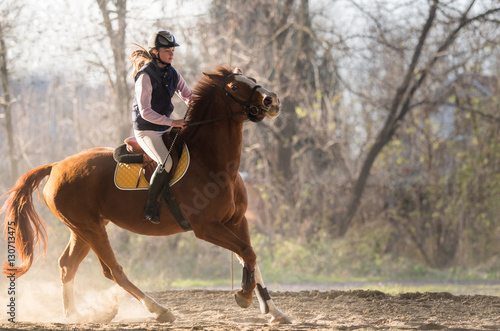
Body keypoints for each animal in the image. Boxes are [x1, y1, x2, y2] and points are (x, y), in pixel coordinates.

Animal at [1, 66, 292, 326]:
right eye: (234, 86)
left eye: (251, 78)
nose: (272, 100)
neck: (213, 162)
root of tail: (56, 166)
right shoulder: (207, 227)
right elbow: (247, 253)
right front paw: (244, 296)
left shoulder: (237, 221)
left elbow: (250, 257)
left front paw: (274, 312)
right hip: (90, 228)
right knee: (112, 270)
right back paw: (159, 309)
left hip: (83, 229)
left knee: (67, 266)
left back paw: (75, 315)